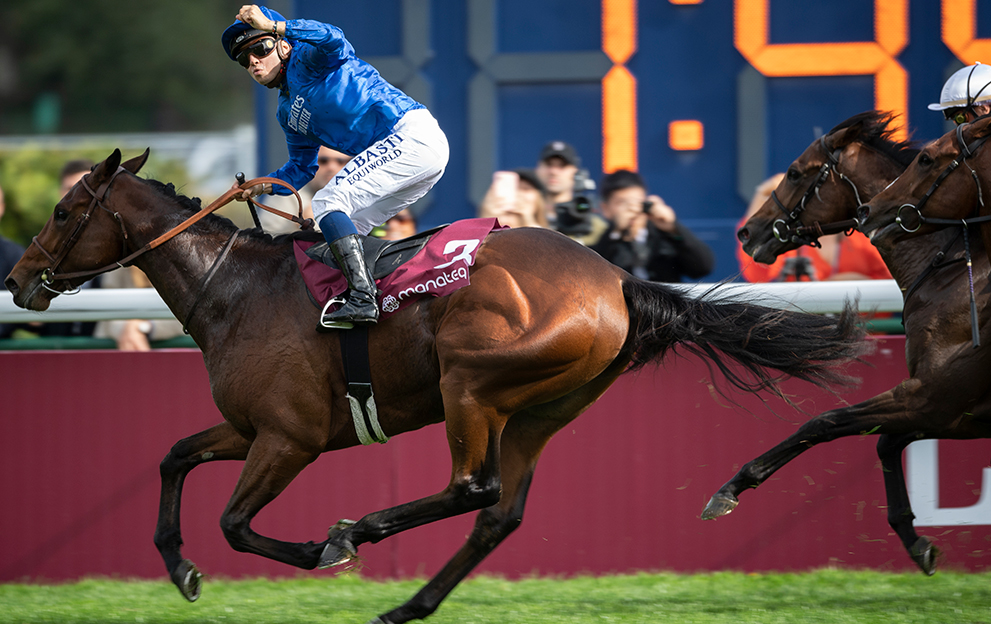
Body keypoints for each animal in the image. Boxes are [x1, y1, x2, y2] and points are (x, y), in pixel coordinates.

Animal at [3, 151, 864, 624]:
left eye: (64, 209)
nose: (17, 281)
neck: (233, 289)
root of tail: (617, 279)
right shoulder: (250, 429)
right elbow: (175, 456)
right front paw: (179, 568)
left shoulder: (290, 438)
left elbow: (236, 524)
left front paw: (317, 548)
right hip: (542, 409)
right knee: (499, 513)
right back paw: (405, 604)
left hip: (471, 380)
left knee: (472, 488)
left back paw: (359, 531)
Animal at [708, 111, 988, 576]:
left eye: (794, 172)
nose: (747, 232)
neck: (952, 272)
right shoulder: (949, 411)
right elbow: (885, 441)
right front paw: (915, 540)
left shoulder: (936, 398)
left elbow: (824, 423)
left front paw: (731, 487)